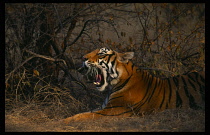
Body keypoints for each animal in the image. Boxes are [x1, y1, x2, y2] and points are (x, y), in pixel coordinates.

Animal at [62, 47, 205, 123]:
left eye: (101, 53)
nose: (83, 58)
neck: (112, 86)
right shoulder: (104, 107)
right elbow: (84, 112)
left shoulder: (113, 110)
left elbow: (84, 115)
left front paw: (63, 121)